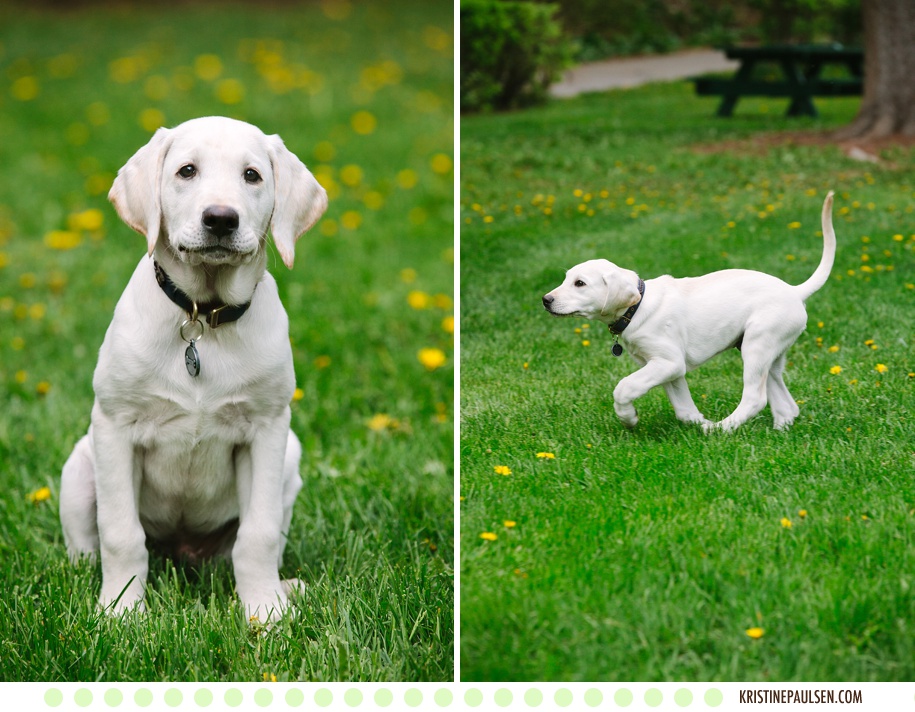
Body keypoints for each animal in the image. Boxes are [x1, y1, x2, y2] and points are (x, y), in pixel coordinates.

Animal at [59, 114, 330, 620]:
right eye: (186, 171)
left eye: (252, 175)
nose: (221, 218)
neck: (202, 316)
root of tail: (182, 553)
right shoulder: (114, 426)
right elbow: (121, 533)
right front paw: (121, 614)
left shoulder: (267, 430)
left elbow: (258, 536)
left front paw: (265, 612)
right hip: (79, 467)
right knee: (88, 547)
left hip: (290, 460)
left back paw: (287, 587)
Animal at [544, 192, 836, 432]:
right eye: (567, 279)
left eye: (580, 283)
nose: (546, 300)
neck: (637, 309)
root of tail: (794, 291)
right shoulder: (667, 368)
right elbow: (684, 409)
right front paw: (699, 422)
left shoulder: (668, 362)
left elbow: (624, 387)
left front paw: (629, 418)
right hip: (768, 353)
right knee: (786, 405)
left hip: (758, 345)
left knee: (755, 398)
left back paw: (721, 429)